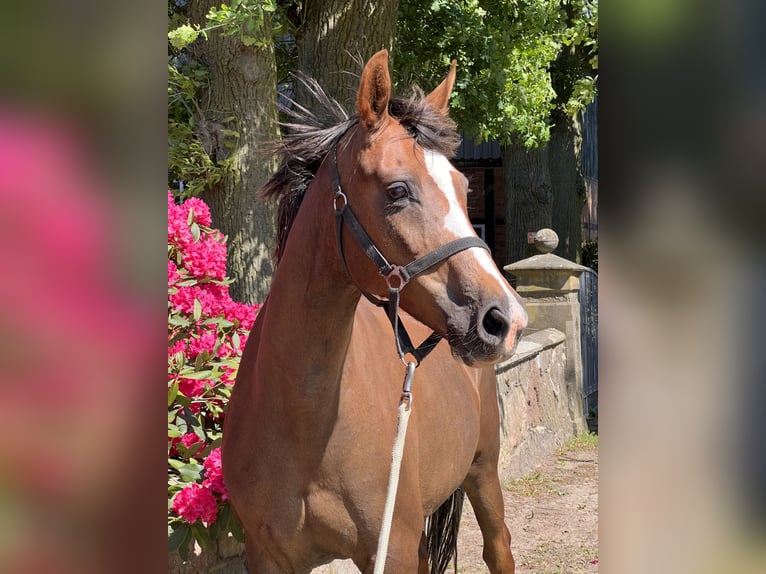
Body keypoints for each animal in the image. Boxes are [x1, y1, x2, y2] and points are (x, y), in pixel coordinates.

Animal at [222, 50, 532, 574]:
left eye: (463, 186)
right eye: (397, 190)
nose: (505, 319)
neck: (303, 422)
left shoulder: (391, 549)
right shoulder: (267, 556)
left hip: (483, 473)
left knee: (499, 548)